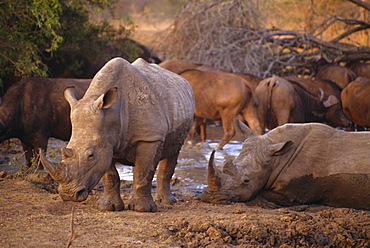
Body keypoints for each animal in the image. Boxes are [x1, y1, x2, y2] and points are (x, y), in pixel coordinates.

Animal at [39, 57, 197, 211]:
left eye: (91, 155)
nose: (69, 195)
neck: (111, 114)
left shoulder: (150, 138)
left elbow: (144, 174)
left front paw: (142, 209)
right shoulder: (106, 141)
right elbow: (110, 176)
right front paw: (108, 207)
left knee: (173, 152)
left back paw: (167, 202)